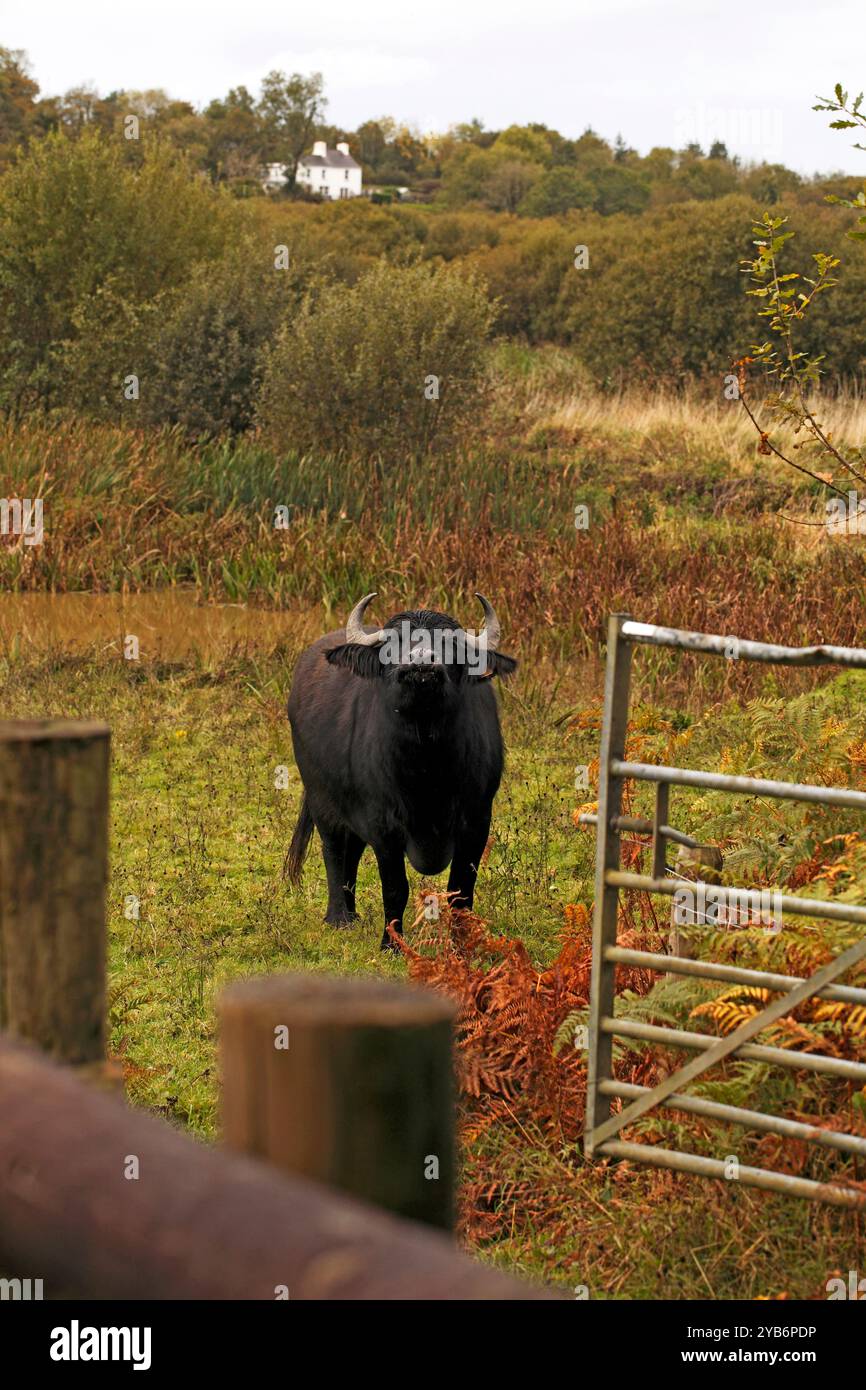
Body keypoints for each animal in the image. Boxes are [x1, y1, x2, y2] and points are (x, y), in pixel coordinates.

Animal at [286, 592, 514, 950]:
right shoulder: (384, 825)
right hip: (321, 798)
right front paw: (391, 944)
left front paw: (462, 945)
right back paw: (338, 917)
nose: (421, 665)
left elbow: (462, 890)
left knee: (351, 853)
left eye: (449, 644)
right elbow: (395, 888)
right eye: (394, 645)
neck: (426, 769)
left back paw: (352, 914)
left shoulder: (477, 821)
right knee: (334, 851)